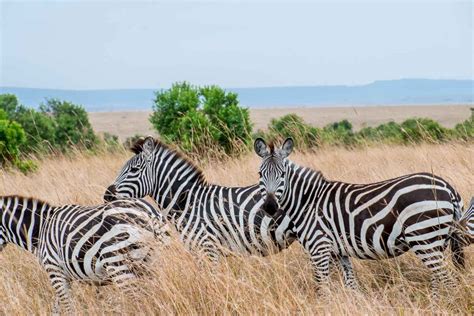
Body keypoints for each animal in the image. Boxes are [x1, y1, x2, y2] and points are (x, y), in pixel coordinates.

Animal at [0, 195, 170, 314]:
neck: (40, 230)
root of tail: (148, 212)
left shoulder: (54, 270)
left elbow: (67, 306)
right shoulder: (63, 275)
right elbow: (57, 307)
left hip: (118, 263)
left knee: (138, 300)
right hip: (151, 262)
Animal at [254, 138, 472, 296]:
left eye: (283, 174)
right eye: (260, 174)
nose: (270, 206)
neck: (307, 202)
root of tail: (448, 186)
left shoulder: (319, 248)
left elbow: (322, 288)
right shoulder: (338, 252)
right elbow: (351, 286)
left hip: (423, 237)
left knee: (448, 280)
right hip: (438, 241)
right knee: (438, 278)